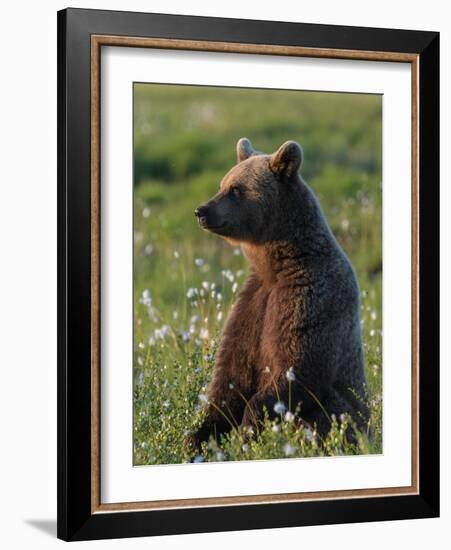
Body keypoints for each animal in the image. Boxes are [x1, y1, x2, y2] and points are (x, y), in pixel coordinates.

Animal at [192, 137, 370, 448]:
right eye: (222, 184)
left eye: (236, 189)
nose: (202, 211)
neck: (276, 266)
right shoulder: (255, 304)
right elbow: (231, 375)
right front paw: (198, 435)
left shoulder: (309, 297)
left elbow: (297, 369)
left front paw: (247, 431)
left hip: (345, 412)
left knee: (326, 414)